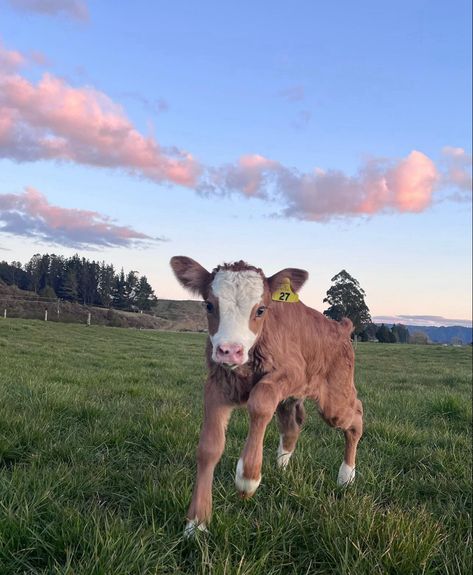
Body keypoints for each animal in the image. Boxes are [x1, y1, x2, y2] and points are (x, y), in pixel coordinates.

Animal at [171, 256, 364, 536]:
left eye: (261, 310)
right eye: (209, 305)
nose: (230, 350)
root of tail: (341, 326)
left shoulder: (291, 372)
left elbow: (260, 402)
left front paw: (248, 477)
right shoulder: (217, 384)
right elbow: (209, 447)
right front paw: (197, 523)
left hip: (334, 398)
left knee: (355, 415)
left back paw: (346, 476)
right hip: (290, 399)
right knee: (292, 426)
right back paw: (281, 469)